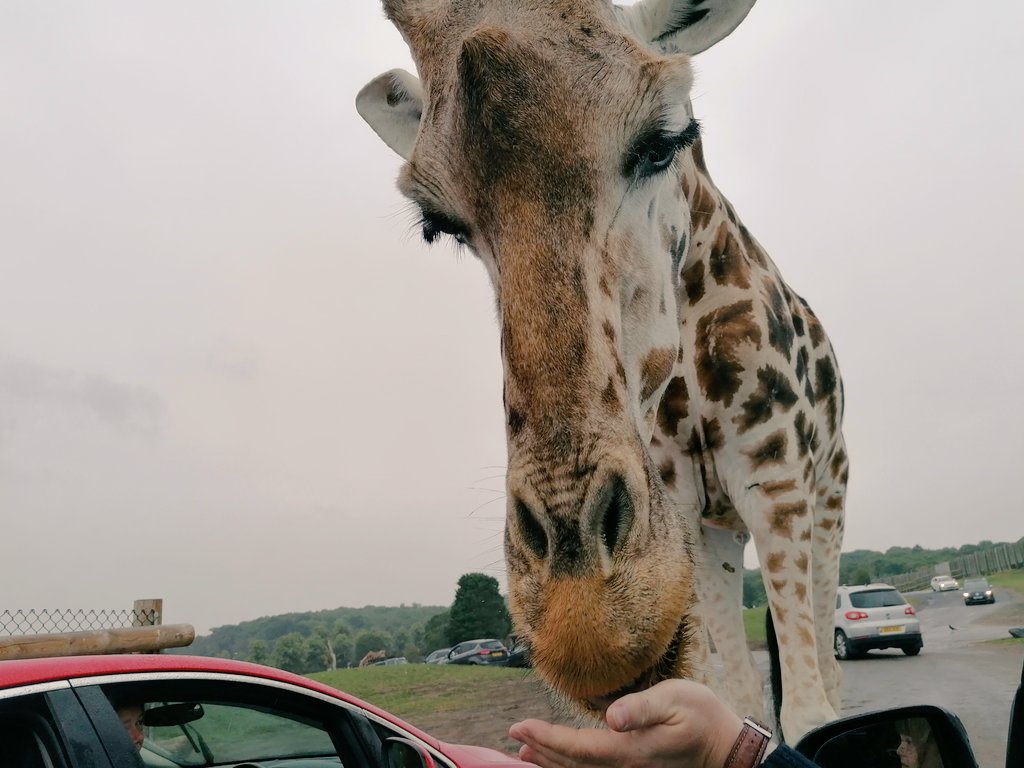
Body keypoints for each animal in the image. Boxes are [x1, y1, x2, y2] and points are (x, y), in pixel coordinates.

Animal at [357, 0, 847, 742]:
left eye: (664, 141)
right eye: (437, 222)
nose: (585, 612)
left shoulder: (778, 485)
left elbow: (811, 709)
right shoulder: (687, 516)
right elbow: (733, 697)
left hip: (827, 496)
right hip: (720, 534)